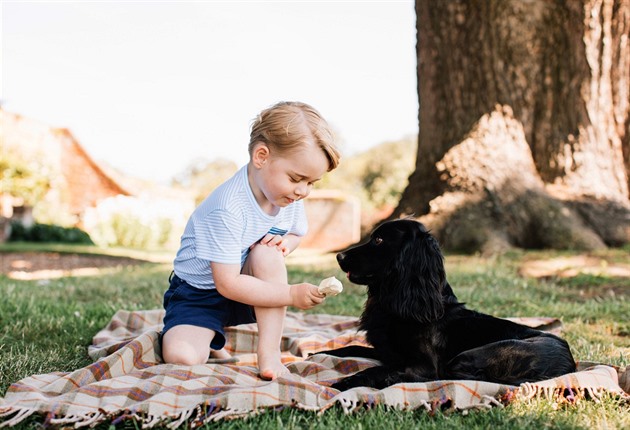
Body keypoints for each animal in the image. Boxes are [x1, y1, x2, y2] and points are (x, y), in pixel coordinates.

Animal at [324, 220, 576, 392]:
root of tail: (568, 365)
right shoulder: (387, 352)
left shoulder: (424, 365)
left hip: (468, 357)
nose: (339, 256)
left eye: (378, 240)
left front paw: (344, 383)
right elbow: (347, 349)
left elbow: (378, 369)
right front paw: (319, 354)